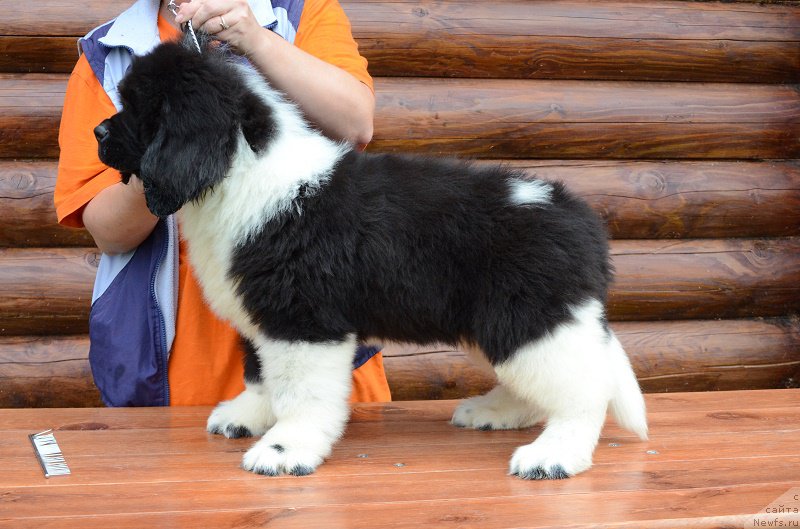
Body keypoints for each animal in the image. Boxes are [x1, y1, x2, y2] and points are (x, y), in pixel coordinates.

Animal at [94, 38, 648, 478]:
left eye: (138, 107)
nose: (98, 133)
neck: (240, 170)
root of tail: (579, 217)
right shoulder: (265, 310)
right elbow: (260, 371)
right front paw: (248, 415)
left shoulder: (303, 319)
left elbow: (302, 392)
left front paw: (285, 448)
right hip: (497, 321)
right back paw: (493, 412)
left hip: (529, 316)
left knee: (584, 389)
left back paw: (554, 456)